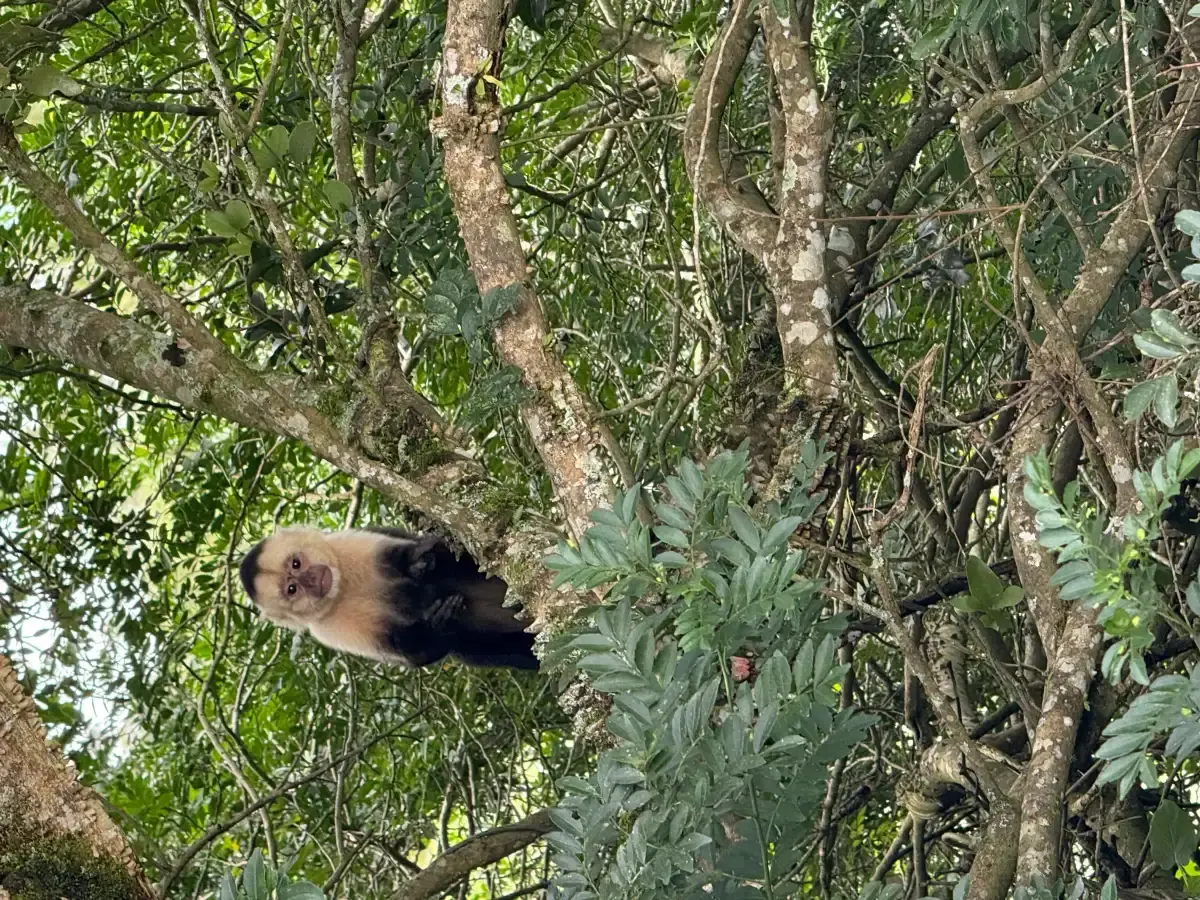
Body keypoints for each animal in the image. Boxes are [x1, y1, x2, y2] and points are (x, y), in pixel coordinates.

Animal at [238, 526, 538, 671]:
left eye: (296, 563)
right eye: (292, 589)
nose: (312, 581)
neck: (342, 588)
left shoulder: (345, 546)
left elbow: (407, 555)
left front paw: (417, 561)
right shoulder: (328, 629)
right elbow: (416, 652)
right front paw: (439, 622)